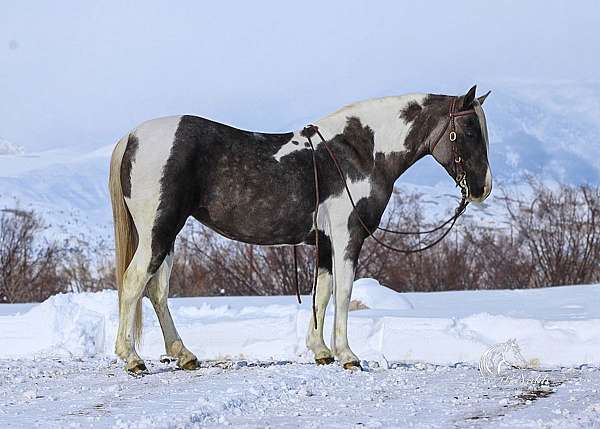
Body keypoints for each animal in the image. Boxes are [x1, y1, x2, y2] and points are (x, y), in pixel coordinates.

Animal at [109, 84, 492, 372]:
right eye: (470, 130)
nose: (482, 189)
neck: (360, 152)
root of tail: (132, 137)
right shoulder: (347, 237)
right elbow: (344, 291)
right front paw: (348, 355)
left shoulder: (325, 243)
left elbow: (321, 292)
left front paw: (321, 351)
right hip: (159, 231)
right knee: (134, 283)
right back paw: (132, 359)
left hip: (167, 234)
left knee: (157, 290)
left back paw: (183, 354)